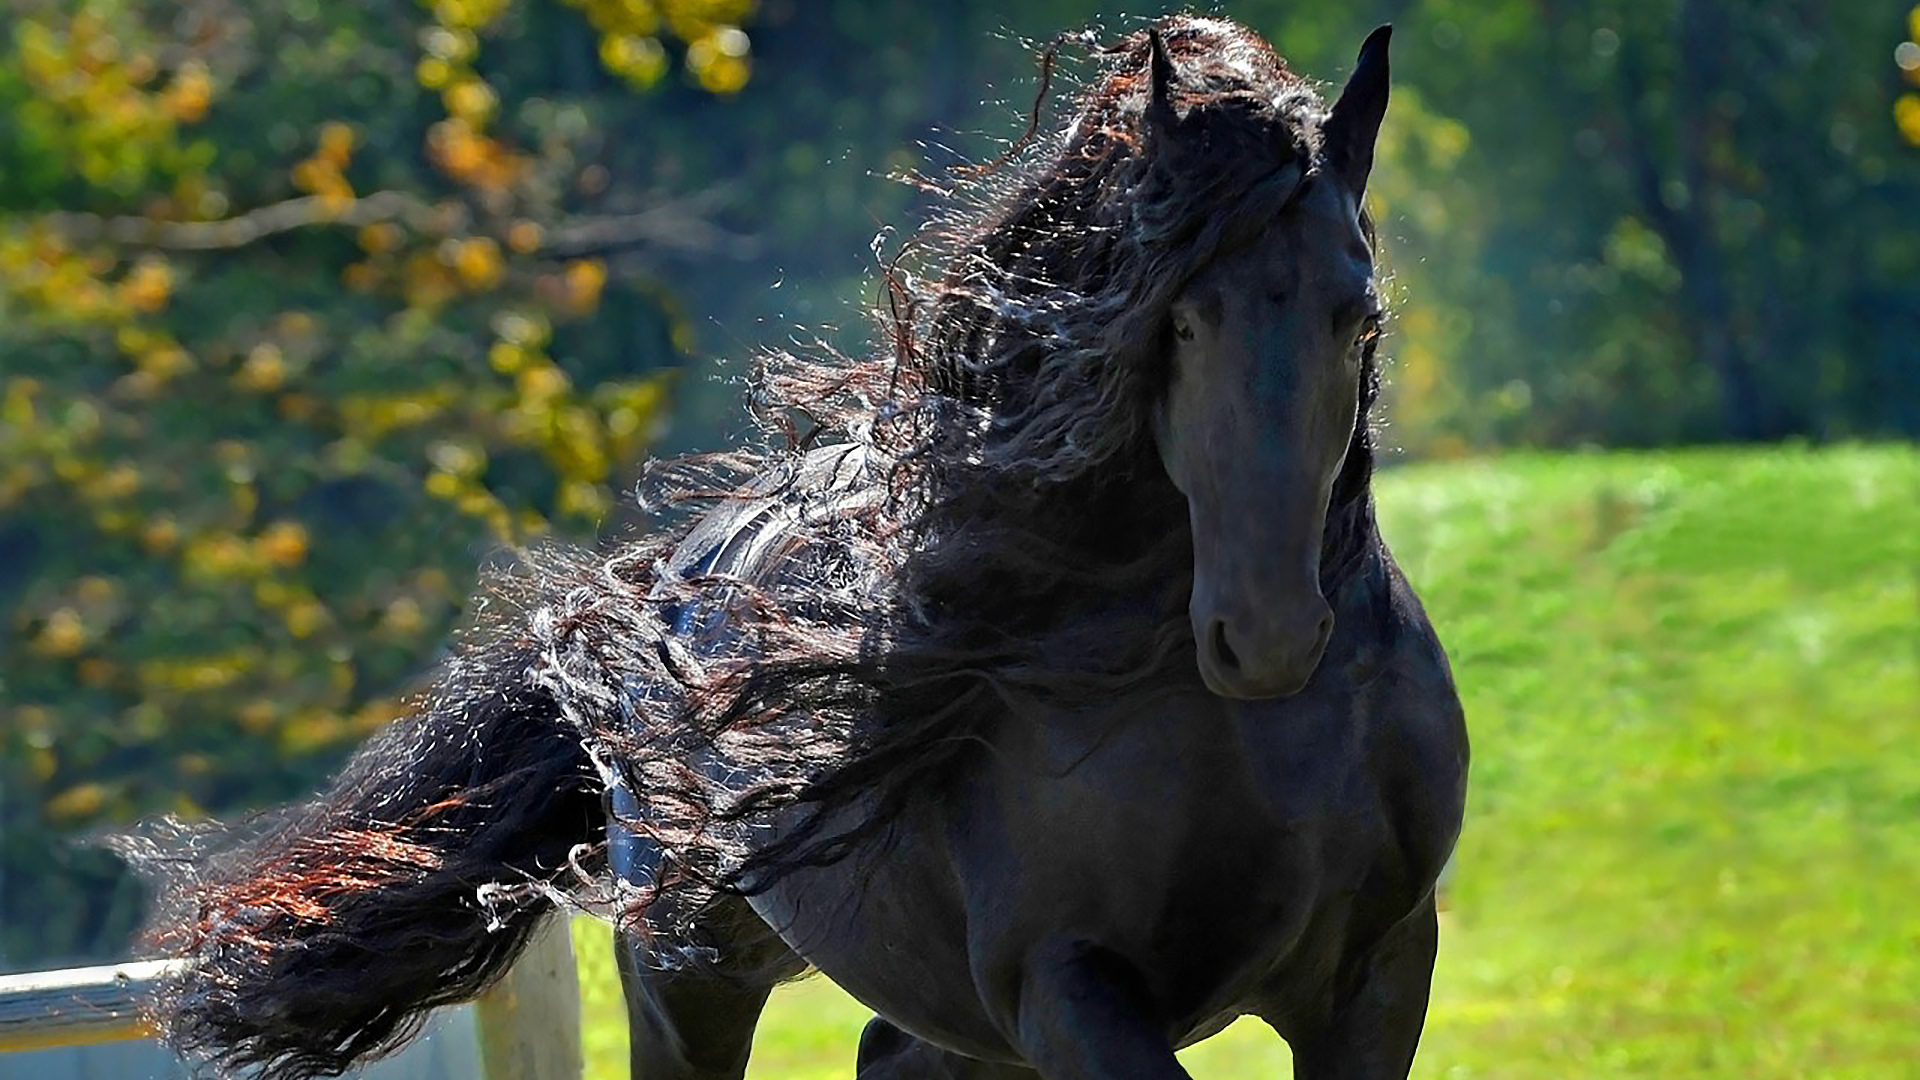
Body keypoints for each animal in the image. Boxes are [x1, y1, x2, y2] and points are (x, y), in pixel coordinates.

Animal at [120, 16, 1466, 1076]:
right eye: (1180, 320)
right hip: (691, 978)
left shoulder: (1376, 978)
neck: (1250, 742)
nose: (1267, 633)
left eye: (1359, 315)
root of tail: (660, 587)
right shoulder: (1069, 990)